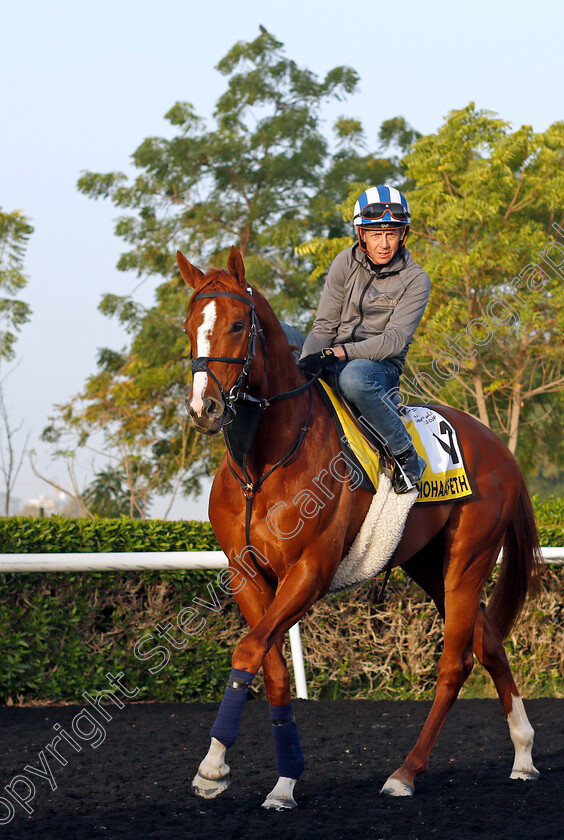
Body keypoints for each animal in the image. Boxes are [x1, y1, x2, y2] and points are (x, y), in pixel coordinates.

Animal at [180, 246, 540, 812]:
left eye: (238, 324)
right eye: (190, 326)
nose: (204, 408)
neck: (262, 465)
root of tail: (499, 447)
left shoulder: (310, 571)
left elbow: (248, 650)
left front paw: (214, 767)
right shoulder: (247, 574)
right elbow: (270, 665)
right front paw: (281, 780)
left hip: (468, 562)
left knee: (454, 663)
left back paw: (406, 772)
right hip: (427, 564)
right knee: (488, 644)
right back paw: (523, 754)